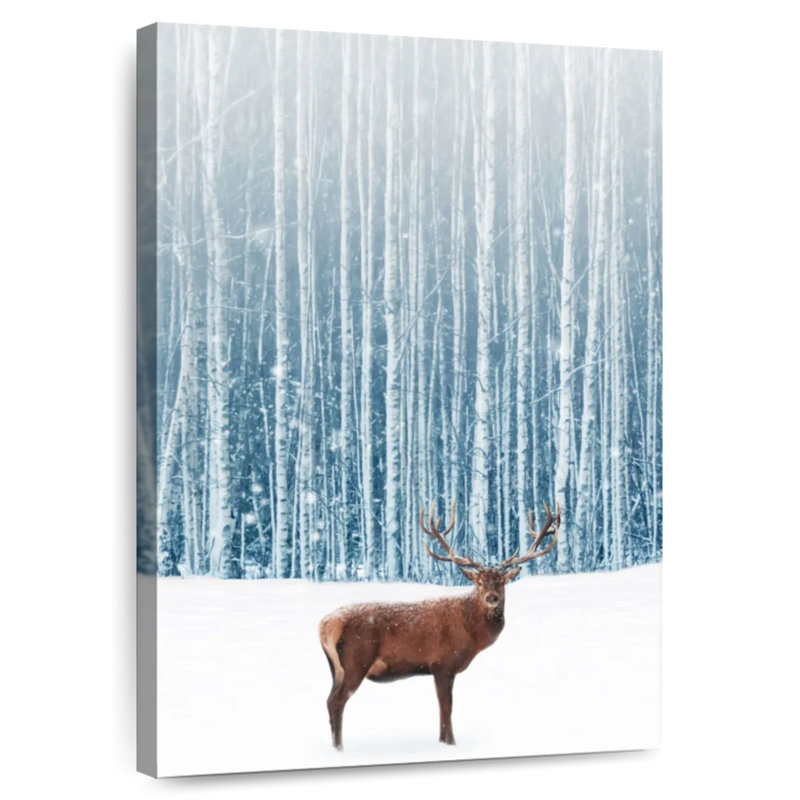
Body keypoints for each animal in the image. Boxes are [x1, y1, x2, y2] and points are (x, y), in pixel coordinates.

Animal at [318, 499, 561, 749]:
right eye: (479, 582)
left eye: (502, 582)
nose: (492, 597)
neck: (472, 634)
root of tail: (325, 625)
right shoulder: (443, 663)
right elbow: (447, 708)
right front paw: (450, 744)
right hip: (356, 661)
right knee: (336, 702)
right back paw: (340, 749)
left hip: (336, 668)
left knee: (329, 701)